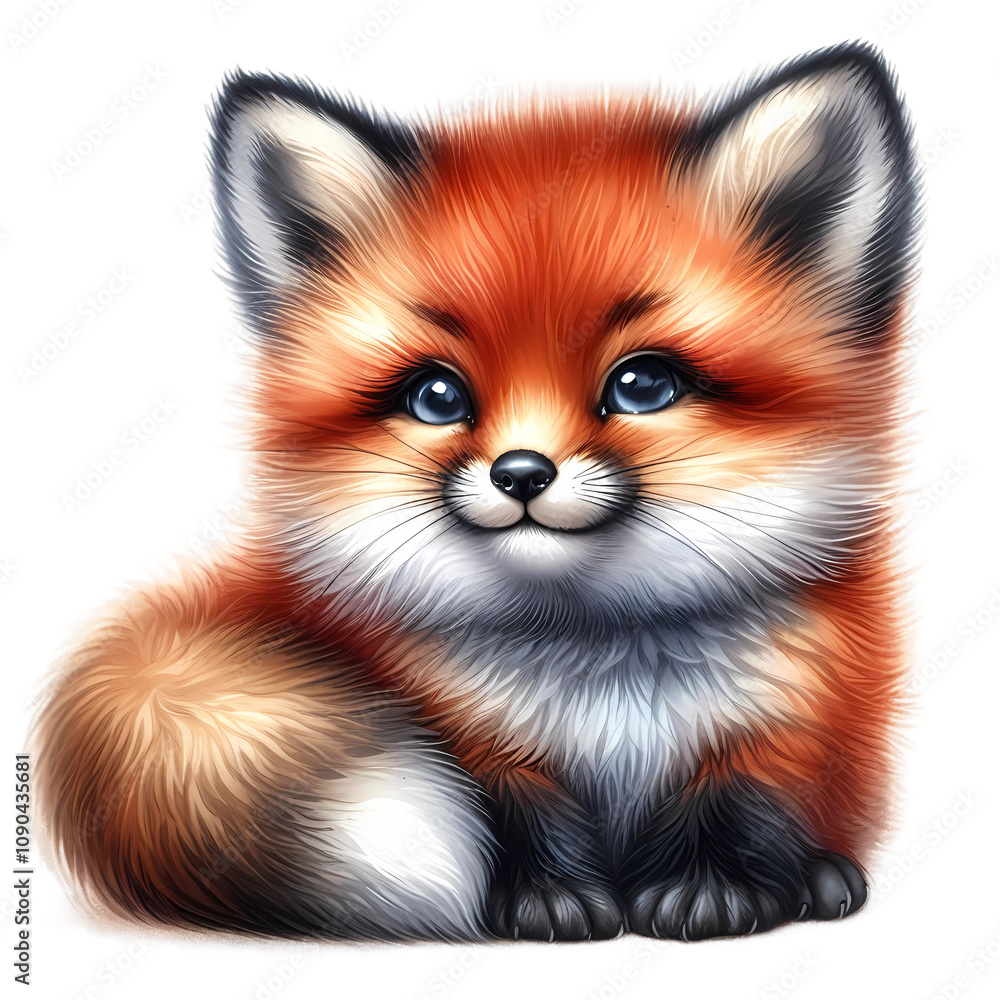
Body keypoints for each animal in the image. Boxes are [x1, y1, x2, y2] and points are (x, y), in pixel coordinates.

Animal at [33, 41, 919, 942]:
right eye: (436, 397)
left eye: (642, 385)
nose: (522, 473)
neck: (601, 673)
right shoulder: (463, 734)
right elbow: (524, 816)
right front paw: (546, 899)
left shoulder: (789, 720)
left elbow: (743, 803)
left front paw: (715, 886)